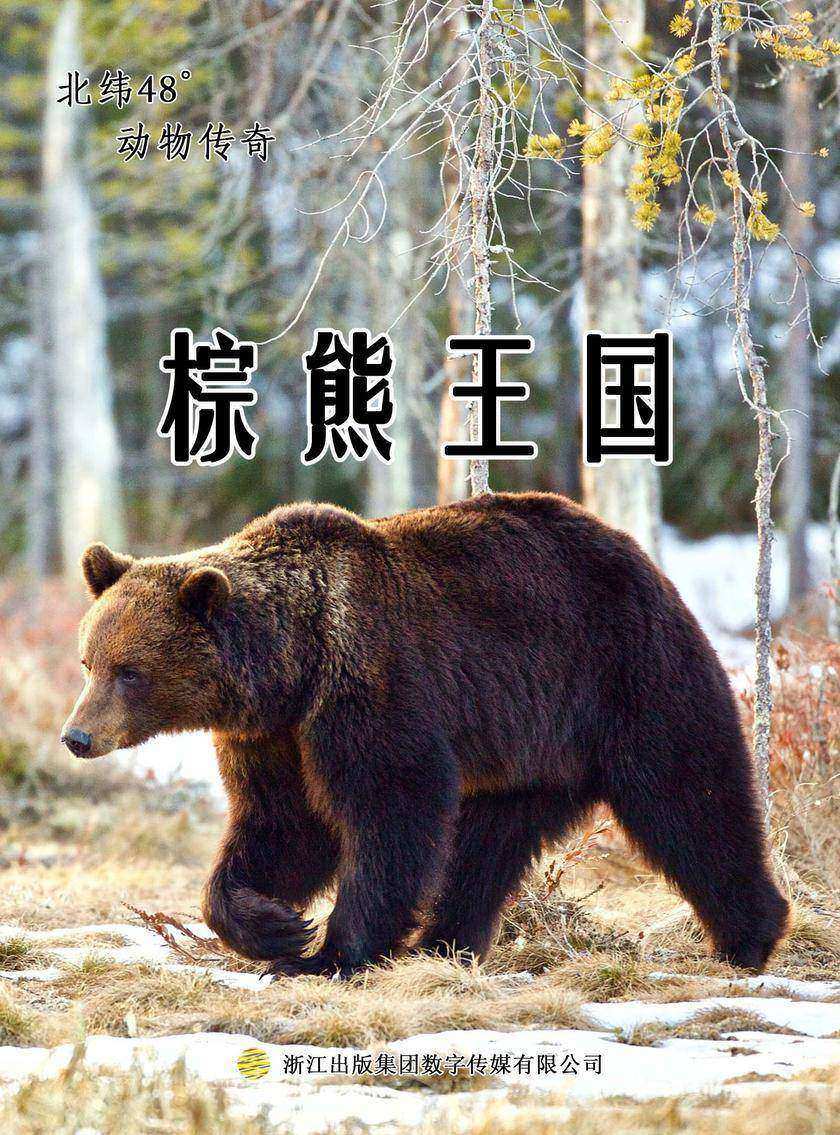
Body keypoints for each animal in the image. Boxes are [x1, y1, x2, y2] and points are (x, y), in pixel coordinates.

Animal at [61, 491, 789, 977]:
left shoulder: (368, 688)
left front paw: (328, 953)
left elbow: (391, 808)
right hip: (529, 749)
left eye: (130, 671)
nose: (77, 736)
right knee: (488, 844)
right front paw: (275, 926)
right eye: (89, 661)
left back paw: (749, 935)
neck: (292, 666)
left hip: (628, 676)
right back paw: (446, 942)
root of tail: (642, 555)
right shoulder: (271, 737)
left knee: (687, 795)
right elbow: (281, 828)